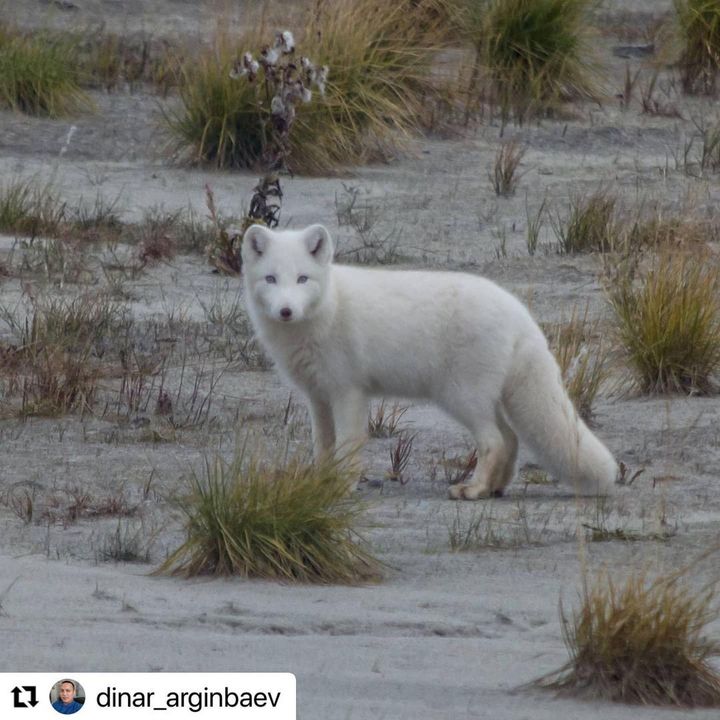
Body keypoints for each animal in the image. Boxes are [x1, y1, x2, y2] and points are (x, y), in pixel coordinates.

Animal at [242, 222, 620, 498]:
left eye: (302, 279)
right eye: (271, 279)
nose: (286, 311)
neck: (327, 309)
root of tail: (519, 313)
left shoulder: (348, 392)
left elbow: (347, 447)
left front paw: (341, 487)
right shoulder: (318, 396)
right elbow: (323, 447)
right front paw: (320, 484)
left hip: (460, 397)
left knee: (494, 441)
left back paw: (473, 489)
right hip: (481, 397)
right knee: (510, 439)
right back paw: (494, 488)